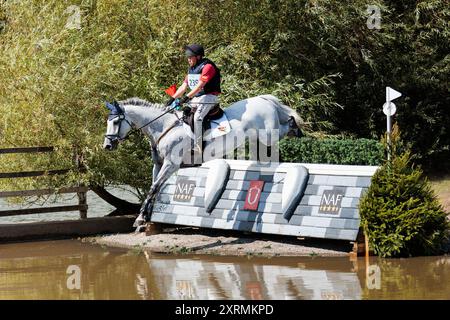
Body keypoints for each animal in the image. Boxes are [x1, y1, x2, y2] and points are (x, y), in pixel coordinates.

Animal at [103, 94, 302, 229]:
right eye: (108, 122)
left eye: (116, 122)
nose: (107, 146)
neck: (164, 127)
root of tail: (263, 99)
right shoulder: (158, 165)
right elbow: (153, 187)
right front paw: (144, 218)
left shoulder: (171, 164)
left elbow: (154, 187)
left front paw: (141, 218)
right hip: (257, 136)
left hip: (268, 133)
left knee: (284, 126)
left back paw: (296, 128)